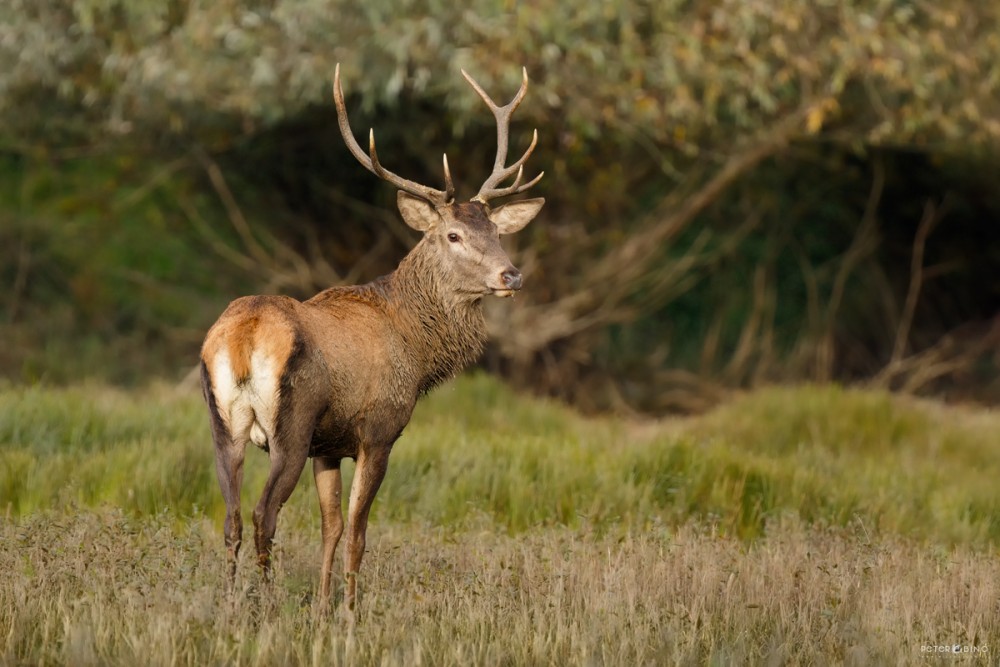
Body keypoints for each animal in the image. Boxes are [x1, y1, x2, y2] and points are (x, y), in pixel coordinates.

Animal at [201, 64, 548, 612]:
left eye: (496, 231)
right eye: (452, 235)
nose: (510, 275)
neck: (418, 352)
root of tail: (242, 338)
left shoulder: (328, 445)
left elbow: (331, 527)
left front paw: (323, 606)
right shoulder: (378, 429)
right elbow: (359, 532)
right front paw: (348, 610)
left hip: (223, 424)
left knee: (231, 518)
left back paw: (232, 603)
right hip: (289, 426)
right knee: (262, 515)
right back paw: (266, 604)